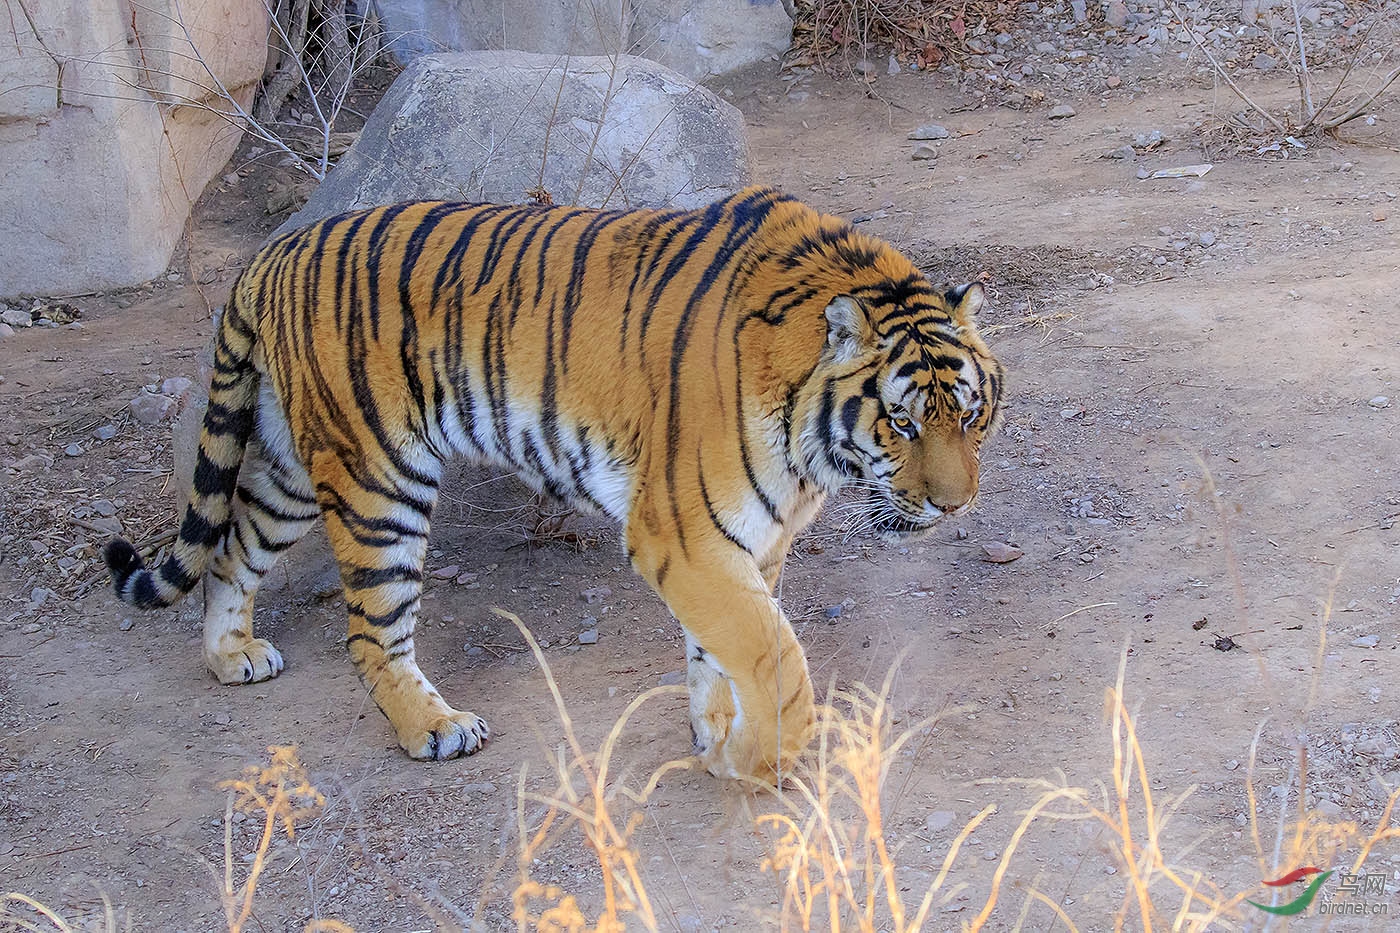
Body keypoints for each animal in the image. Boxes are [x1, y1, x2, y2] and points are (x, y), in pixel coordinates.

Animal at [106, 184, 1008, 778]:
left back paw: (231, 656)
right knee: (368, 629)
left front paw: (719, 738)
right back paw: (435, 726)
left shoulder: (748, 538)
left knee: (231, 548)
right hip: (377, 479)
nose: (954, 504)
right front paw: (762, 758)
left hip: (295, 466)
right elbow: (770, 651)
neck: (808, 438)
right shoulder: (680, 532)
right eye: (902, 423)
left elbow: (722, 651)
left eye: (970, 415)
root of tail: (274, 250)